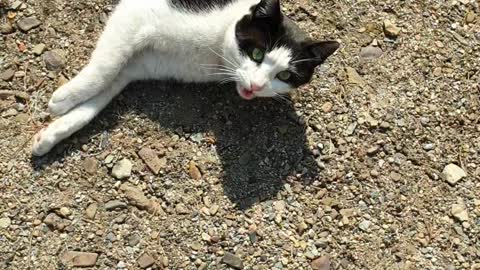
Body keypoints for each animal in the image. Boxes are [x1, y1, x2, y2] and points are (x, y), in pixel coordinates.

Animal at [31, 0, 340, 156]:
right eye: (256, 53)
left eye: (285, 75)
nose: (256, 86)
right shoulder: (133, 14)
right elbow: (105, 67)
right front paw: (63, 99)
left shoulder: (137, 66)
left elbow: (98, 99)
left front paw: (53, 134)